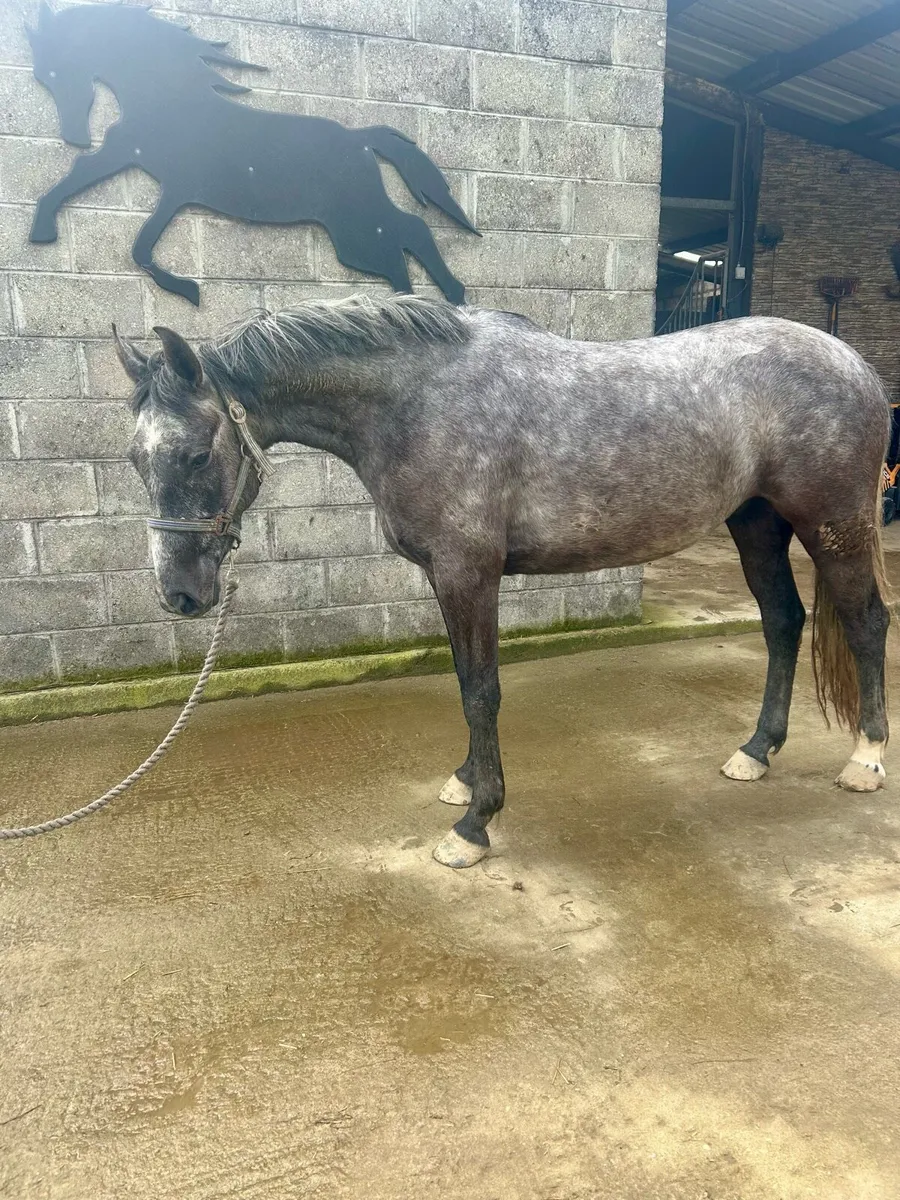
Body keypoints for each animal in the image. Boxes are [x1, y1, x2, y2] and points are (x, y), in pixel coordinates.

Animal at [26, 2, 476, 305]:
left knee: (409, 233)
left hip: (354, 226)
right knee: (405, 239)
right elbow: (134, 235)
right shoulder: (162, 180)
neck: (167, 97)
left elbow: (129, 231)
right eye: (41, 76)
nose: (74, 135)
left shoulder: (149, 168)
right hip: (355, 227)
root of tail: (362, 140)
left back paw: (437, 301)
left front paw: (187, 289)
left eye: (53, 69)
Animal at [112, 294, 892, 870]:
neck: (415, 401)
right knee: (783, 622)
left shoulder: (469, 571)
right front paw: (464, 784)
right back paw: (756, 753)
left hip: (833, 526)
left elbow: (481, 690)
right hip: (756, 524)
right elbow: (466, 680)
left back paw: (866, 759)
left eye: (193, 453)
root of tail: (856, 365)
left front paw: (475, 825)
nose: (180, 595)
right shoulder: (445, 575)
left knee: (866, 624)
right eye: (133, 456)